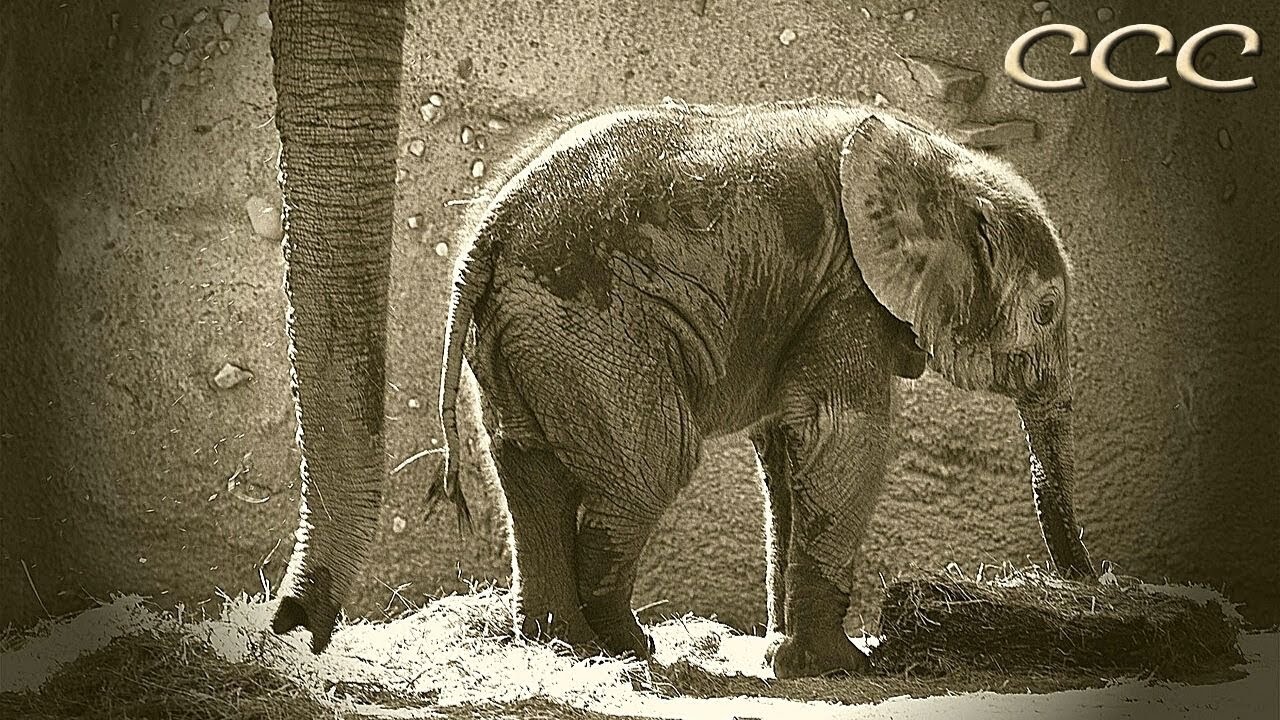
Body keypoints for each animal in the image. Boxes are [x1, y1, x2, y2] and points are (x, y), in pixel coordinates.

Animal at [429, 98, 1096, 679]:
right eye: (1046, 311)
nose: (1083, 588)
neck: (937, 160)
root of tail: (487, 232)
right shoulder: (848, 289)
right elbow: (840, 438)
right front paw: (842, 666)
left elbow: (785, 454)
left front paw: (784, 656)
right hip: (594, 322)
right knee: (651, 467)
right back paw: (628, 647)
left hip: (523, 328)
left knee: (526, 470)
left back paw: (561, 647)